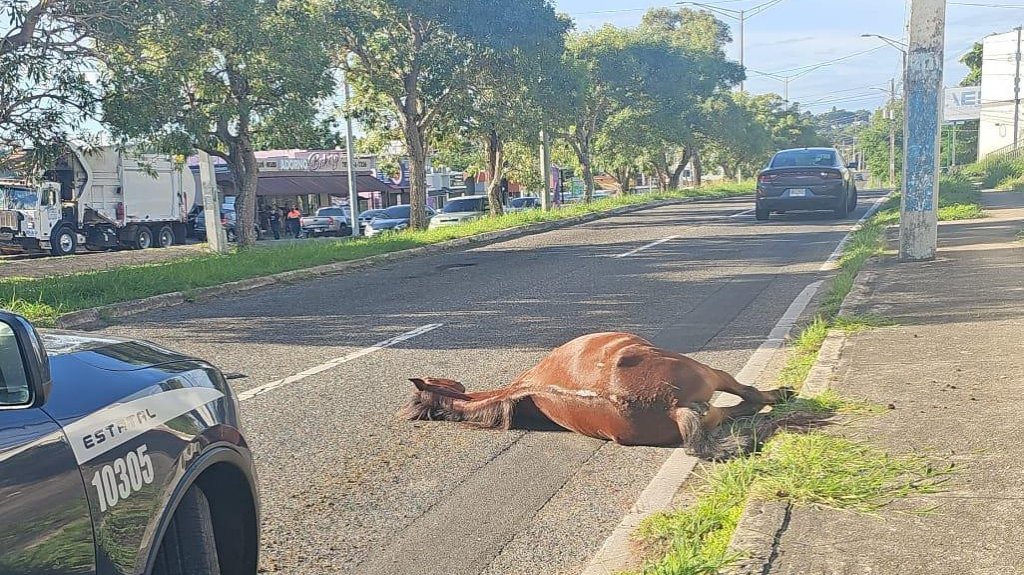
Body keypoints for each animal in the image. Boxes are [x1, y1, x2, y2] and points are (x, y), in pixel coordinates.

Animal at [398, 332, 794, 460]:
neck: (522, 391)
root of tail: (670, 407)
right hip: (708, 373)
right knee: (750, 395)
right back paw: (782, 394)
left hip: (710, 407)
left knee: (741, 405)